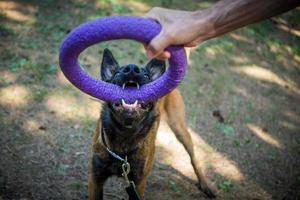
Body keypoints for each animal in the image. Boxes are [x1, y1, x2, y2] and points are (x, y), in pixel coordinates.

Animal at [88, 48, 217, 200]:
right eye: (118, 73)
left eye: (145, 75)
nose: (132, 69)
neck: (125, 136)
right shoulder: (95, 179)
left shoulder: (138, 184)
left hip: (180, 130)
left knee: (194, 159)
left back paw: (205, 184)